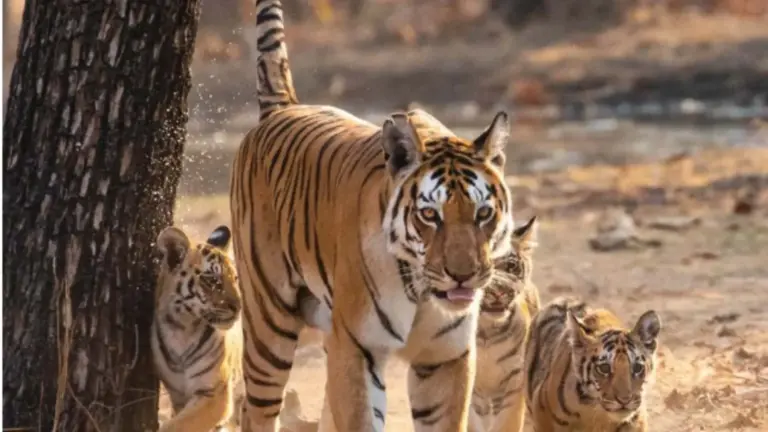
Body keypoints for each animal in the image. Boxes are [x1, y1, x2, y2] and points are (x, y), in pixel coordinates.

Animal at [152, 225, 244, 432]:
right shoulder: (178, 396)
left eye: (235, 278)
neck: (182, 327)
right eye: (213, 279)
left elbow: (178, 425)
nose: (239, 307)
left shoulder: (215, 393)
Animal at [228, 1, 516, 430]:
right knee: (257, 407)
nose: (463, 276)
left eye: (483, 213)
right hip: (269, 323)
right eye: (430, 215)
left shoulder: (445, 356)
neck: (422, 292)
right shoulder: (357, 348)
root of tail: (285, 107)